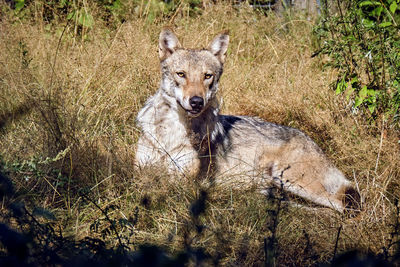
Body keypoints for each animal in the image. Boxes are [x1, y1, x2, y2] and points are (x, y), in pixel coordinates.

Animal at [136, 28, 360, 214]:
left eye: (207, 76)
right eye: (181, 74)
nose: (197, 102)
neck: (171, 132)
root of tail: (312, 141)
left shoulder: (182, 180)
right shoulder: (141, 169)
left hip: (291, 179)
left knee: (343, 207)